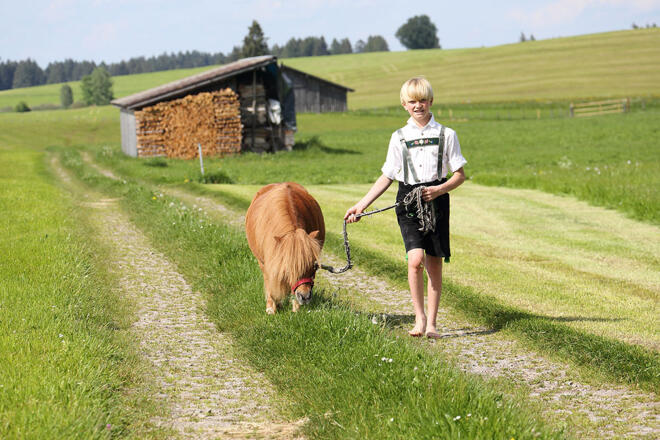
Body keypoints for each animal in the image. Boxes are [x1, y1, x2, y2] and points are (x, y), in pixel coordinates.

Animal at [245, 182, 325, 314]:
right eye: (289, 268)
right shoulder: (267, 263)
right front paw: (271, 307)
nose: (305, 297)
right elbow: (270, 281)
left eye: (314, 266)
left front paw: (296, 308)